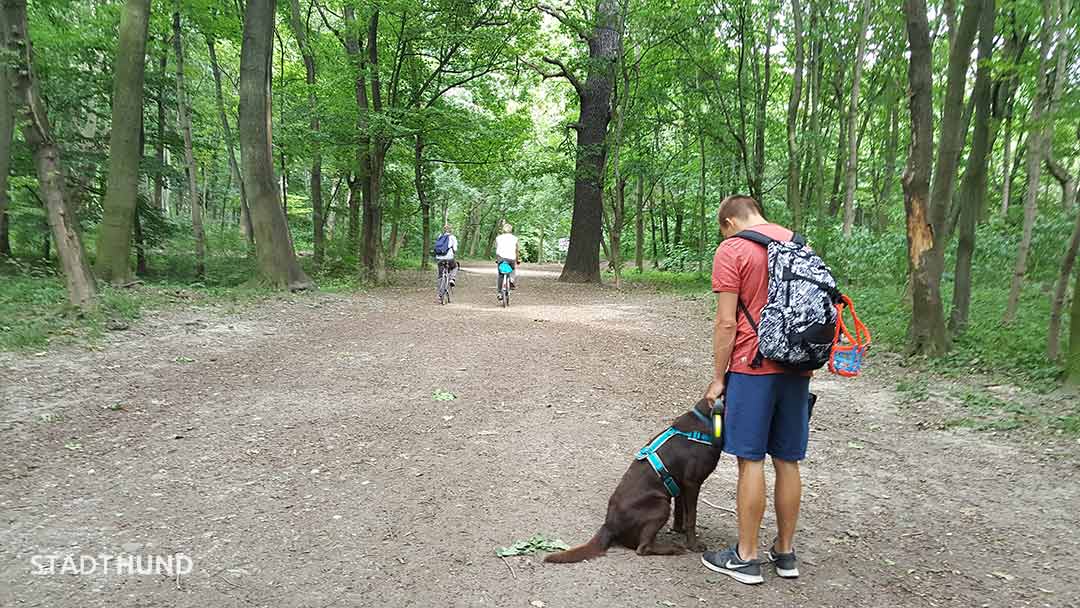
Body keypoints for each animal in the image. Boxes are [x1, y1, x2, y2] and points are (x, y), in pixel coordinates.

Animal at [544, 397, 721, 565]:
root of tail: (609, 525)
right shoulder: (692, 483)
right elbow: (692, 516)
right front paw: (693, 545)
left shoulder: (680, 485)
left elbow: (681, 512)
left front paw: (679, 530)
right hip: (660, 506)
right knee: (643, 548)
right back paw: (673, 548)